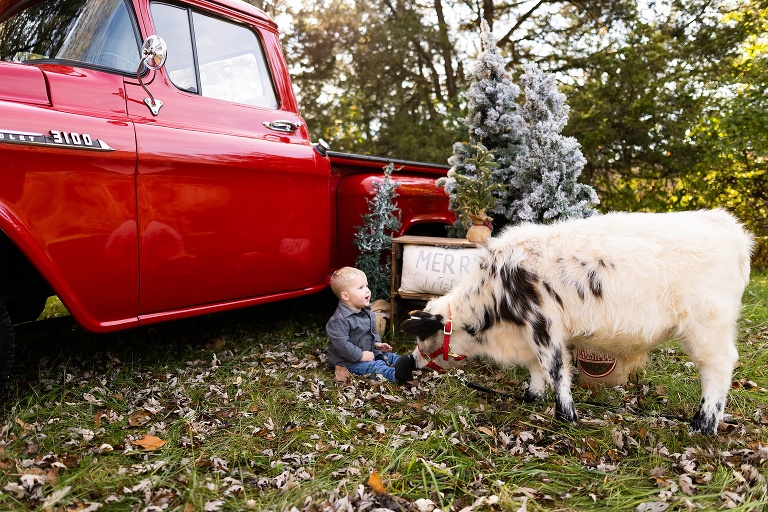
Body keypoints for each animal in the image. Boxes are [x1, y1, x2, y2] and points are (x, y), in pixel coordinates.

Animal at [404, 210, 752, 434]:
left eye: (424, 338)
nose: (410, 362)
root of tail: (727, 225)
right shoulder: (529, 333)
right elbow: (535, 367)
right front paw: (533, 397)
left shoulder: (544, 324)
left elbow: (555, 369)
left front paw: (566, 416)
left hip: (708, 324)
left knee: (718, 367)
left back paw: (703, 425)